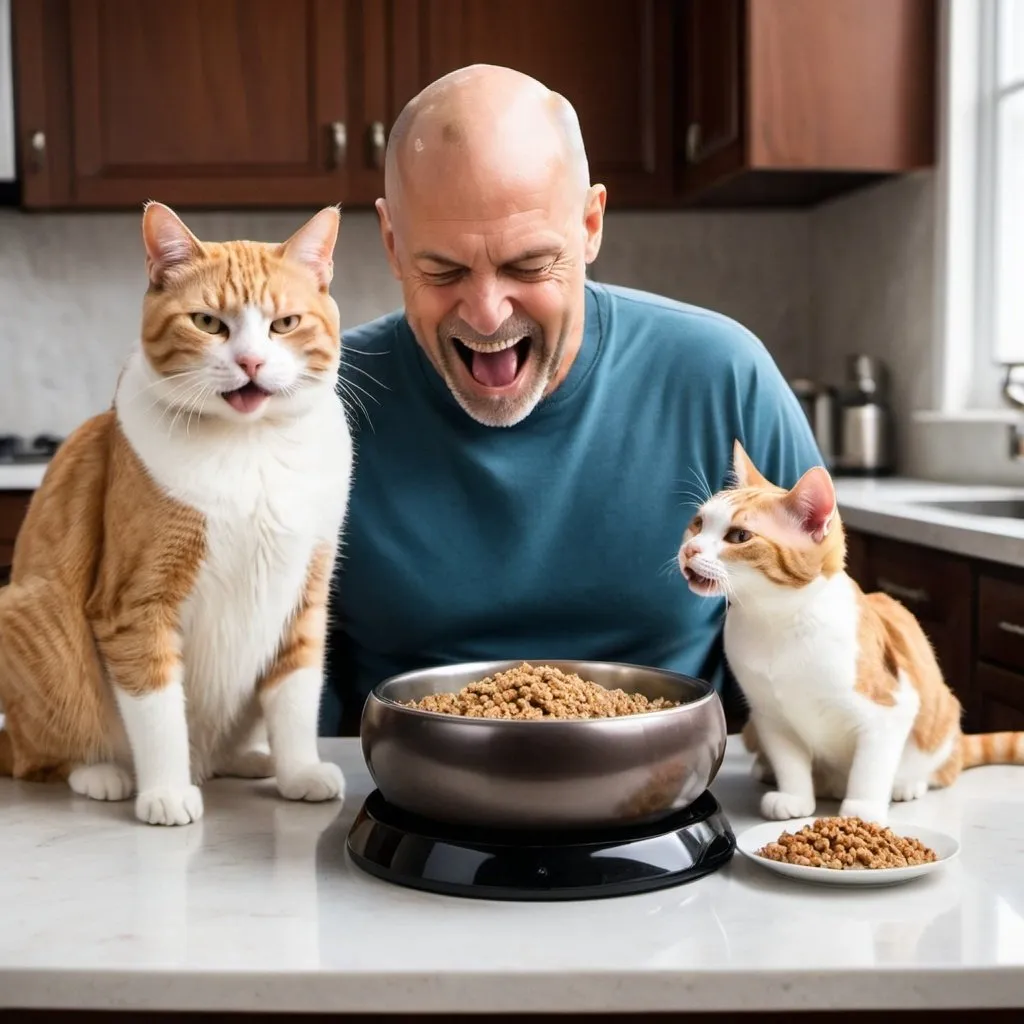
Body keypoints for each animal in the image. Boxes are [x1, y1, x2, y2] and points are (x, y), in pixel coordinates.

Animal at [0, 199, 354, 823]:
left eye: (284, 324)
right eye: (209, 324)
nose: (251, 361)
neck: (252, 447)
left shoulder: (305, 597)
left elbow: (296, 697)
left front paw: (300, 772)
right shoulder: (135, 606)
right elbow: (158, 708)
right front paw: (165, 793)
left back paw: (250, 760)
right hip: (25, 615)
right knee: (36, 757)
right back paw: (103, 775)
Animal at [675, 440, 1019, 823]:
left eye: (739, 537)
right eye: (698, 524)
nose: (690, 549)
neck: (775, 621)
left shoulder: (890, 709)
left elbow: (870, 767)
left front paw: (861, 810)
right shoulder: (770, 716)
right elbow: (790, 760)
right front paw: (794, 797)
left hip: (940, 721)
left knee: (943, 767)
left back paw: (908, 785)